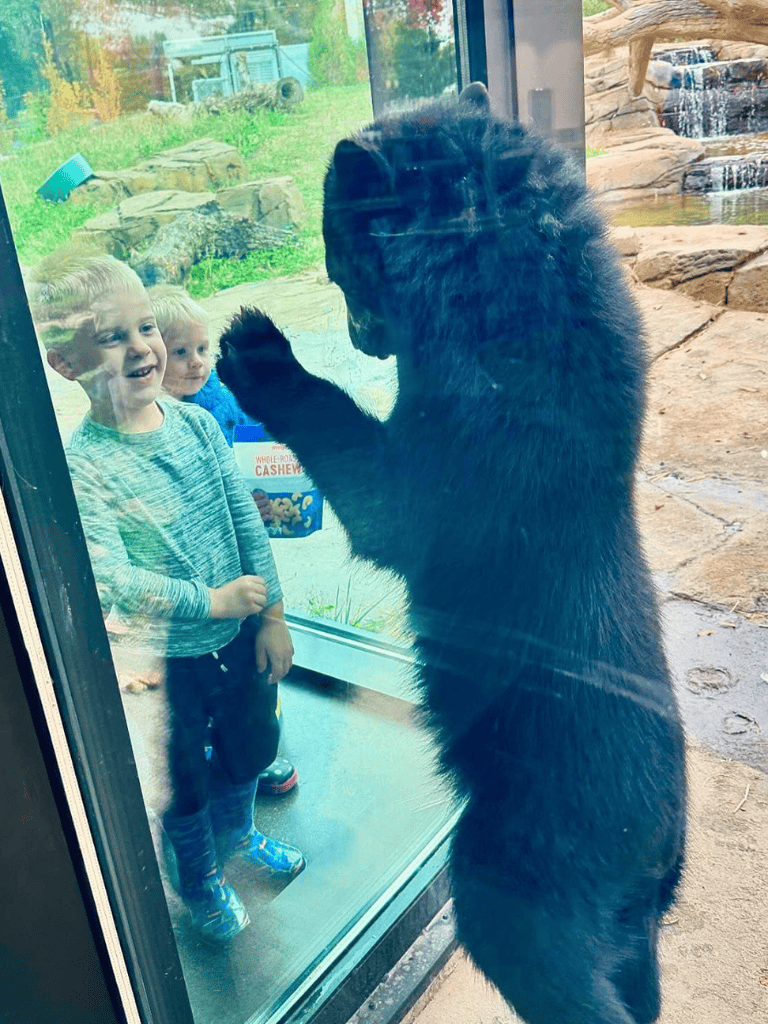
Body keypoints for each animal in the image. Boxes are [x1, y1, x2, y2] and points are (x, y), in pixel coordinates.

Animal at [216, 84, 687, 1024]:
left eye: (342, 265)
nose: (363, 339)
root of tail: (655, 852)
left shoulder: (460, 463)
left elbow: (376, 490)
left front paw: (253, 344)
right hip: (628, 932)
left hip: (516, 875)